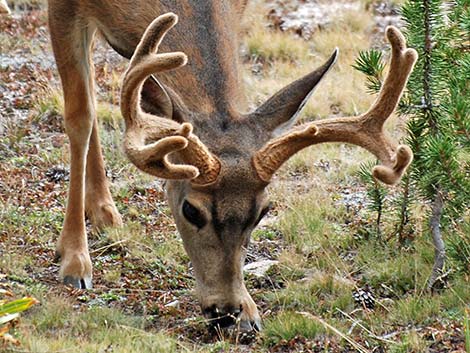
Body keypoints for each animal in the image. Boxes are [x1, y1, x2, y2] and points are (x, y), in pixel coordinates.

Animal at [47, 0, 414, 330]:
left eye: (263, 212)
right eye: (191, 210)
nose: (225, 312)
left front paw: (250, 310)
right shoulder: (62, 7)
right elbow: (80, 115)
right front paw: (75, 259)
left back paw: (104, 211)